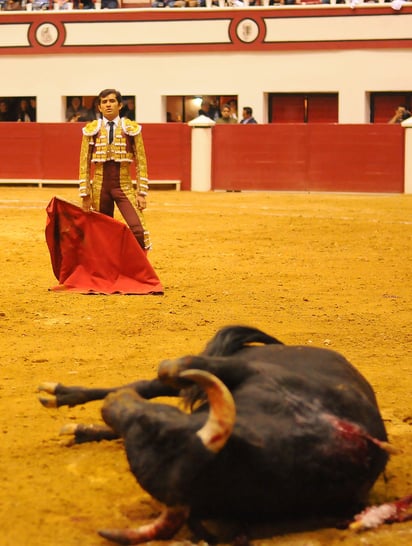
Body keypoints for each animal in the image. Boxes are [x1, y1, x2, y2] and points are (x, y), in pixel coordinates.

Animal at [37, 326, 400, 540]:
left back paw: (80, 423)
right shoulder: (246, 370)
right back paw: (62, 395)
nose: (113, 406)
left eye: (152, 429)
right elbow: (171, 369)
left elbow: (169, 371)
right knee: (157, 382)